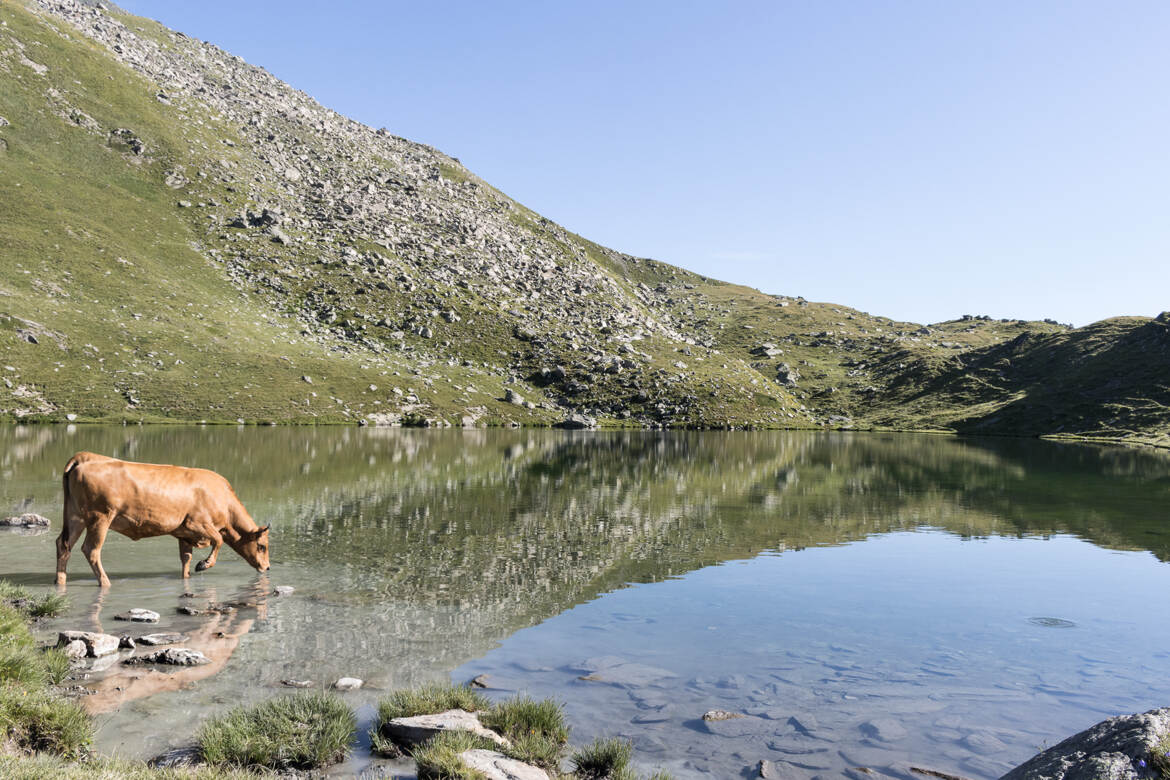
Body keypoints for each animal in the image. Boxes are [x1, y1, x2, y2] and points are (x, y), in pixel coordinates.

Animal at [58, 453, 271, 589]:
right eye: (262, 546)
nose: (267, 567)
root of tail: (85, 456)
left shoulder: (184, 533)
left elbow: (186, 559)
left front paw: (187, 576)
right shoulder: (197, 523)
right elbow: (217, 540)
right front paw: (204, 564)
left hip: (76, 517)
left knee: (63, 545)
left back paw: (59, 581)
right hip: (100, 517)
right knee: (91, 550)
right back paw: (105, 582)